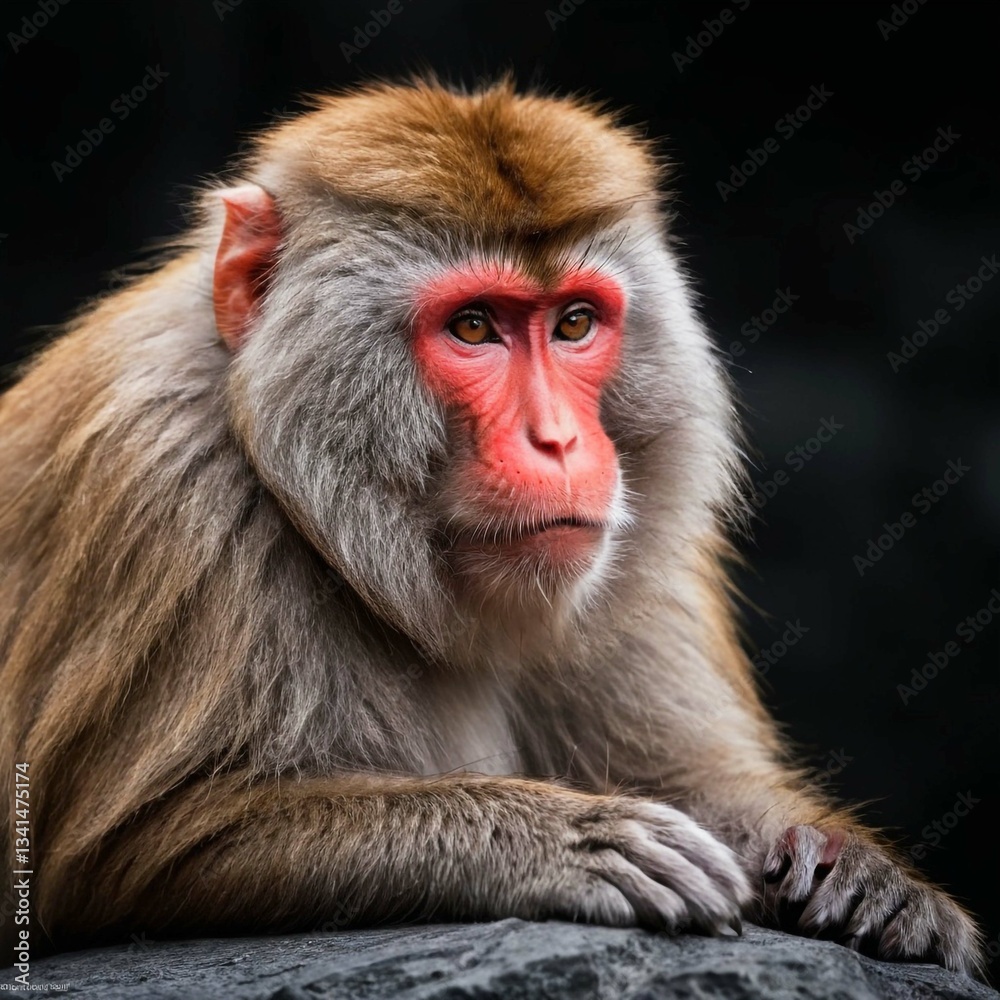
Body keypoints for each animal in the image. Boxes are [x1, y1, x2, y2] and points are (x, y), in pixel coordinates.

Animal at [0, 79, 983, 976]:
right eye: (474, 327)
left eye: (575, 322)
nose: (559, 441)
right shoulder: (164, 481)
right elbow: (138, 851)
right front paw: (568, 842)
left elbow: (685, 782)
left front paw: (852, 870)